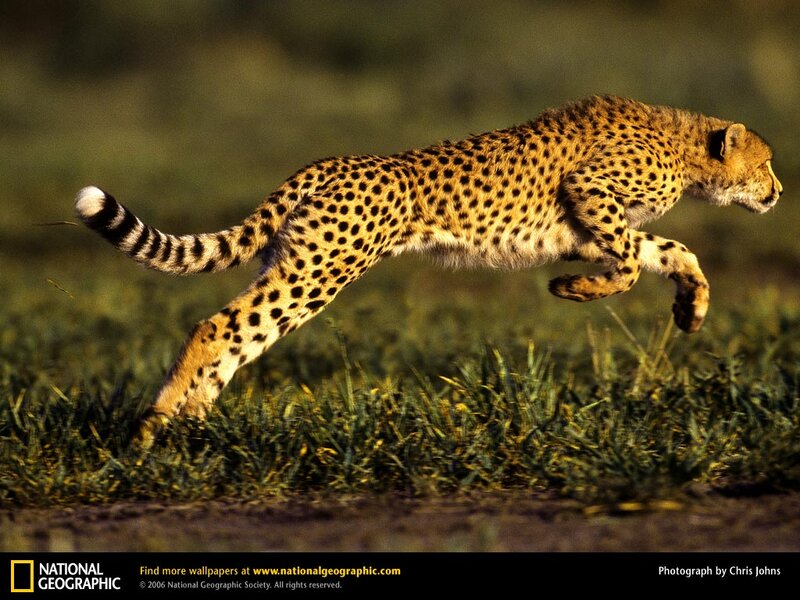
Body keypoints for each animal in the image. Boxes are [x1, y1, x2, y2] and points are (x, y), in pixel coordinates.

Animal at [73, 95, 783, 447]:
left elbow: (668, 251)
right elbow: (632, 262)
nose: (778, 193)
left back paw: (190, 426)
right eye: (769, 162)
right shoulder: (589, 195)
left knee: (236, 335)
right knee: (217, 327)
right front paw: (573, 290)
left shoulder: (582, 228)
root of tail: (331, 161)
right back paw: (153, 428)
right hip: (320, 269)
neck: (684, 147)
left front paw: (691, 307)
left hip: (299, 262)